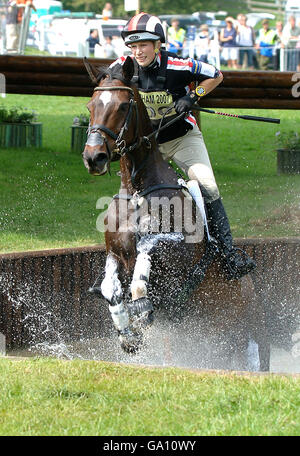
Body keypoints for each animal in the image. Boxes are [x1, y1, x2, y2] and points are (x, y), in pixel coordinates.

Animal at [82, 56, 270, 370]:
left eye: (122, 106)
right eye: (91, 105)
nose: (93, 157)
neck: (137, 190)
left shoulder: (177, 253)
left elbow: (145, 260)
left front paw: (142, 308)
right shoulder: (115, 252)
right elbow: (111, 288)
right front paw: (128, 335)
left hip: (246, 337)